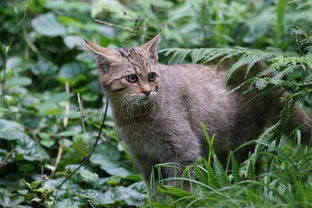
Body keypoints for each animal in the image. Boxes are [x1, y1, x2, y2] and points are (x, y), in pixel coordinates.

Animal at [84, 33, 310, 188]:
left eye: (151, 76)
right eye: (131, 78)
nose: (148, 91)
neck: (135, 118)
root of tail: (264, 69)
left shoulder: (183, 153)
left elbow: (180, 189)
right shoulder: (146, 158)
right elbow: (156, 193)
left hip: (241, 146)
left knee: (251, 174)